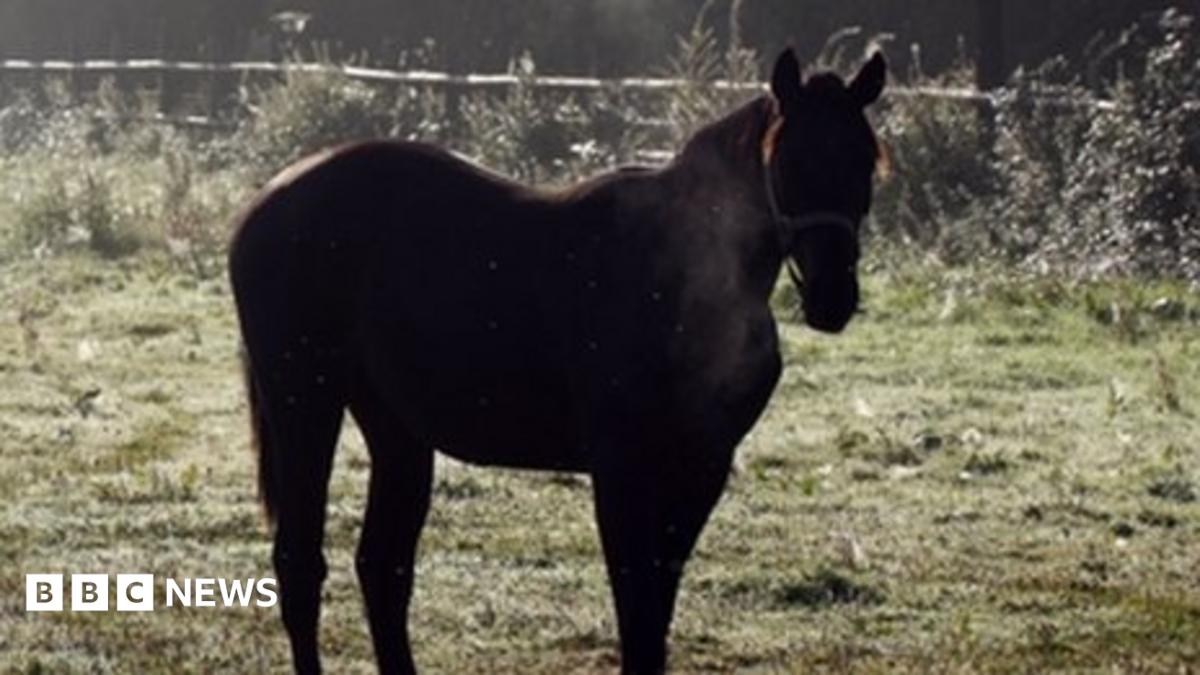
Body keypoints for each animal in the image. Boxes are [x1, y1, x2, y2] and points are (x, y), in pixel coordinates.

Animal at [229, 48, 887, 674]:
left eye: (865, 162)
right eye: (789, 161)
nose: (833, 295)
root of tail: (266, 201)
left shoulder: (703, 466)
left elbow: (656, 616)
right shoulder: (621, 468)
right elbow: (637, 616)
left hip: (395, 429)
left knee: (382, 567)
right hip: (304, 402)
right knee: (300, 563)